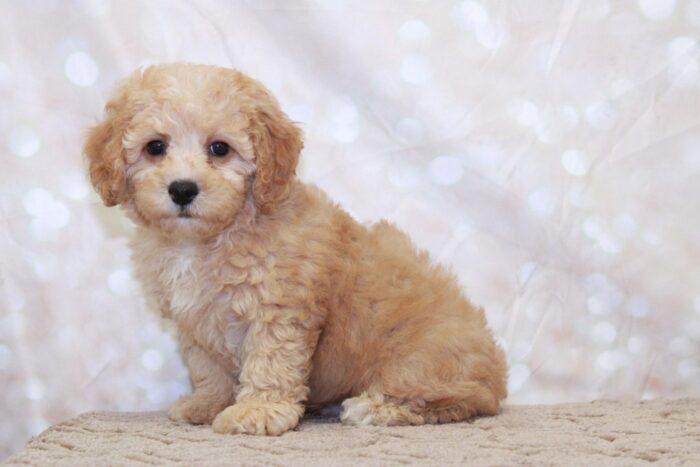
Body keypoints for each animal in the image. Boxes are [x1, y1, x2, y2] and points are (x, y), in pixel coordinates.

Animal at [85, 62, 506, 436]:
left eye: (220, 148)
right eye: (155, 147)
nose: (183, 189)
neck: (208, 239)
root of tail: (498, 370)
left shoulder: (278, 308)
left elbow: (270, 362)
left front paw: (257, 411)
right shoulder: (196, 323)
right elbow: (208, 368)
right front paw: (207, 403)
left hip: (422, 362)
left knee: (454, 398)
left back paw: (377, 408)